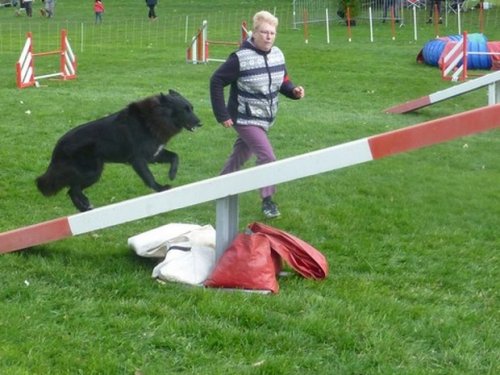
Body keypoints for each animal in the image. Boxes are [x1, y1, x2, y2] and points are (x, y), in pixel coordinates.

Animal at [35, 90, 201, 212]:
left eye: (191, 108)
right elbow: (149, 177)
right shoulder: (138, 160)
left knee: (71, 189)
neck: (153, 118)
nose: (201, 123)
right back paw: (85, 205)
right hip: (92, 172)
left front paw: (172, 174)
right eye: (185, 110)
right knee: (72, 189)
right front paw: (160, 188)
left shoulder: (154, 154)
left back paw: (84, 208)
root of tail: (58, 146)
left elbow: (175, 156)